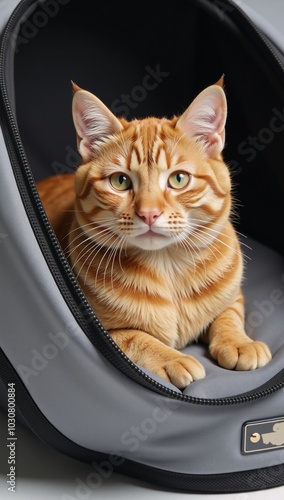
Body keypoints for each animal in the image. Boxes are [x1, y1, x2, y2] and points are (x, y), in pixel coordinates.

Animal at [36, 81, 272, 390]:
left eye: (178, 179)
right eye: (120, 181)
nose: (148, 213)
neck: (168, 264)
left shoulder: (235, 297)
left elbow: (228, 315)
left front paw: (240, 343)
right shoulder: (100, 331)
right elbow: (136, 337)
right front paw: (173, 359)